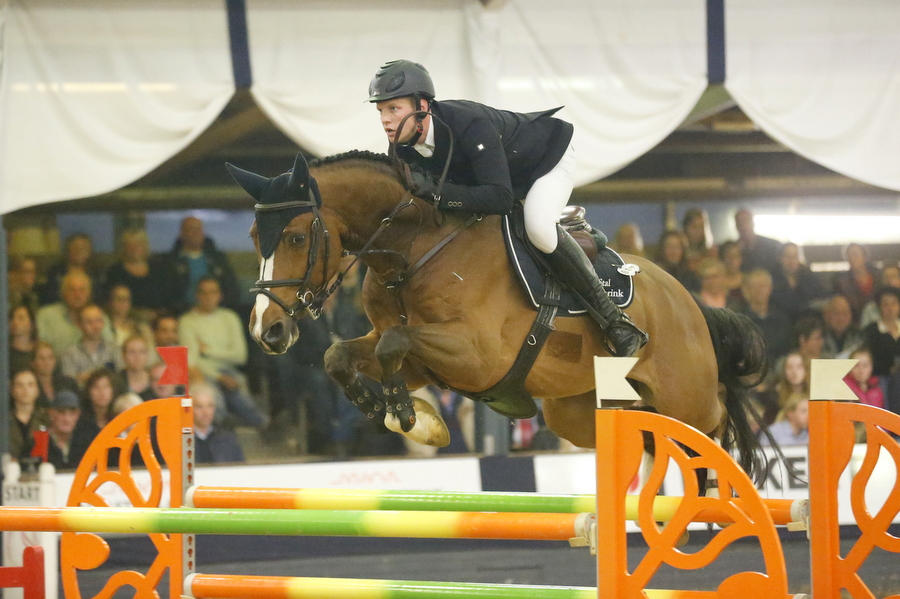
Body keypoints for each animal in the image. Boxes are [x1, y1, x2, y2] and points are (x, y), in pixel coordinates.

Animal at [229, 154, 768, 482]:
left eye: (297, 237)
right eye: (254, 237)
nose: (266, 330)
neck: (411, 252)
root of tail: (688, 299)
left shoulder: (477, 355)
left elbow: (391, 344)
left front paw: (406, 414)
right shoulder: (424, 360)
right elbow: (345, 353)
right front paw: (392, 410)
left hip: (686, 395)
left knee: (714, 420)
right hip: (577, 411)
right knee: (646, 435)